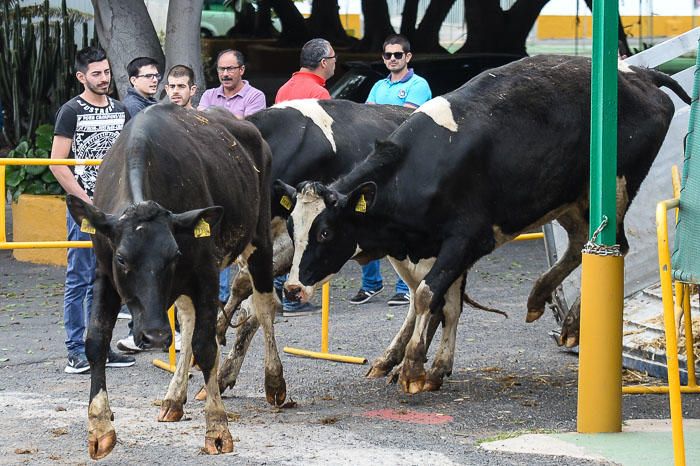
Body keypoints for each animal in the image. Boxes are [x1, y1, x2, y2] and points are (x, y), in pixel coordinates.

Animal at [65, 104, 284, 456]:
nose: (155, 335)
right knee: (190, 320)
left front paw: (217, 428)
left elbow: (207, 347)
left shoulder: (205, 272)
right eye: (122, 258)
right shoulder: (104, 274)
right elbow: (96, 341)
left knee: (264, 308)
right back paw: (174, 398)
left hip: (259, 239)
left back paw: (274, 381)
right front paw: (99, 427)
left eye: (174, 255)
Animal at [276, 54, 692, 394]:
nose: (293, 287)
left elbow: (427, 296)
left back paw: (573, 322)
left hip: (614, 187)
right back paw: (539, 296)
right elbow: (439, 303)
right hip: (567, 199)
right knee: (577, 245)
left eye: (325, 231)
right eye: (293, 230)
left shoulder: (466, 240)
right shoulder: (425, 249)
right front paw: (420, 365)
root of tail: (639, 73)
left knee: (613, 246)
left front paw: (413, 367)